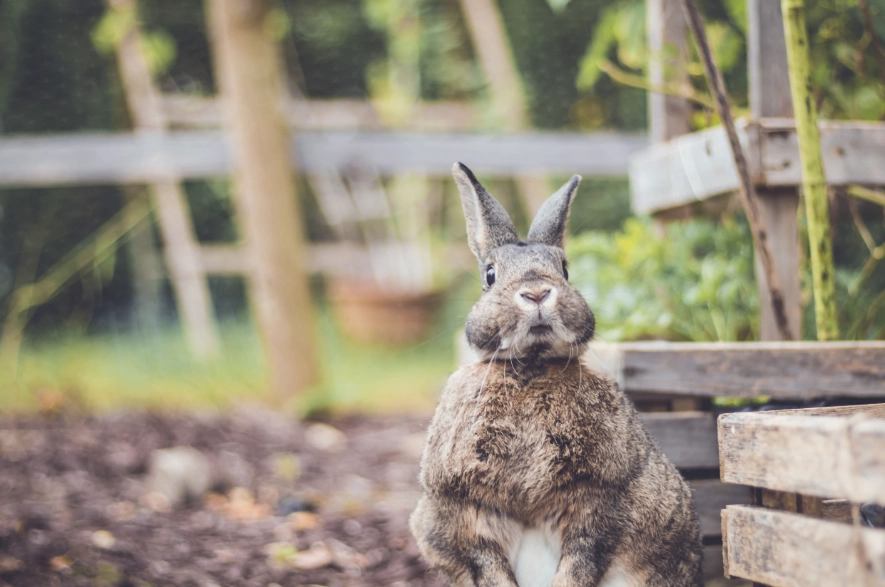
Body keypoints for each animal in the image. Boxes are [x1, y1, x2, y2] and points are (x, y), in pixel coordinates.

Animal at [410, 163, 703, 587]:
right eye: (490, 275)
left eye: (564, 269)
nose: (536, 293)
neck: (531, 367)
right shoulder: (467, 512)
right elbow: (489, 566)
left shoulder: (596, 502)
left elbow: (580, 564)